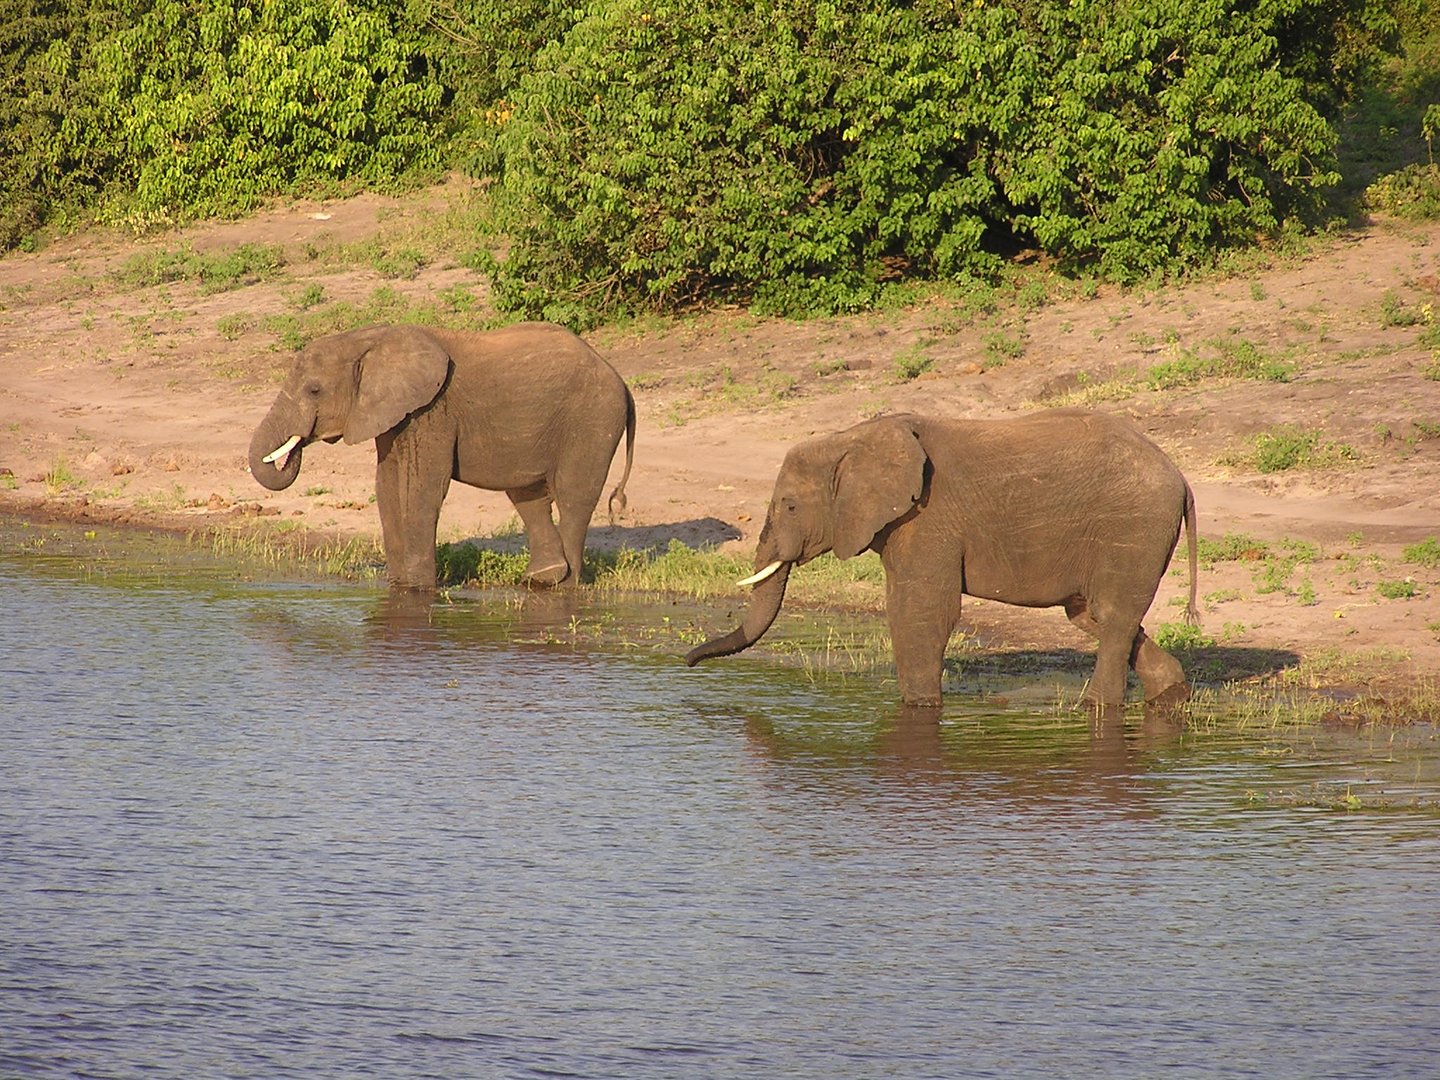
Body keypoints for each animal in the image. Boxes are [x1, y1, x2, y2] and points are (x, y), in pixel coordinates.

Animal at [249, 321, 636, 593]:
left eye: (314, 390)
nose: (292, 451)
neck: (372, 338)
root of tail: (620, 379)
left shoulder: (432, 410)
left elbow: (420, 490)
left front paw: (420, 590)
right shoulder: (397, 415)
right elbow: (387, 489)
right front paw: (400, 587)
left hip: (592, 419)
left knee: (573, 497)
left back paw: (565, 586)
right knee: (528, 497)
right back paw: (541, 580)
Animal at [682, 408, 1192, 711]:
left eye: (789, 506)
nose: (686, 664)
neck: (854, 437)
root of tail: (1180, 477)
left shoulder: (928, 517)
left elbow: (923, 611)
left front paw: (920, 708)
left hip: (1134, 528)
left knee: (1113, 615)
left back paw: (1096, 708)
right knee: (1093, 615)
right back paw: (1171, 692)